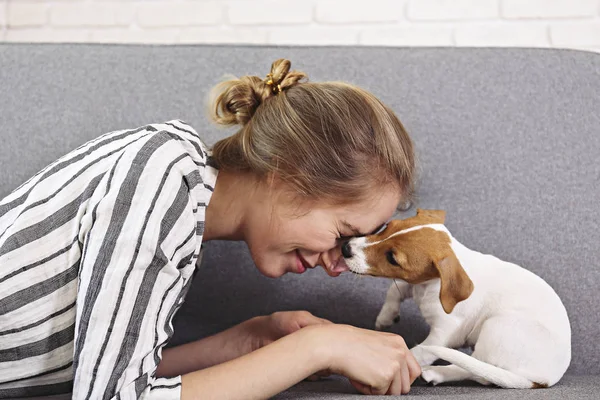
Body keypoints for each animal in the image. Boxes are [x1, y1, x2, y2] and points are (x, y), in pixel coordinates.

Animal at [342, 211, 572, 390]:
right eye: (387, 227)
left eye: (392, 258)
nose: (345, 248)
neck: (429, 286)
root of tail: (544, 379)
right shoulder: (413, 284)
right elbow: (394, 290)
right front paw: (386, 317)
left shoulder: (444, 334)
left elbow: (417, 352)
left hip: (497, 326)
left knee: (477, 371)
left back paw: (436, 373)